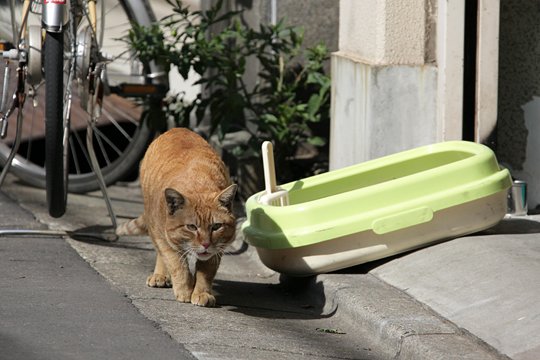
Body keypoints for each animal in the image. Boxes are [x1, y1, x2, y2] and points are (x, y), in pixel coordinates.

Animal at [116, 126, 236, 306]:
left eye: (216, 226)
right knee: (162, 253)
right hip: (156, 229)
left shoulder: (217, 250)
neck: (198, 183)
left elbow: (206, 272)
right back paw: (161, 275)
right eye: (191, 227)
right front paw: (185, 290)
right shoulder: (165, 240)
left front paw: (201, 292)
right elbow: (178, 265)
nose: (206, 244)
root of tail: (177, 128)